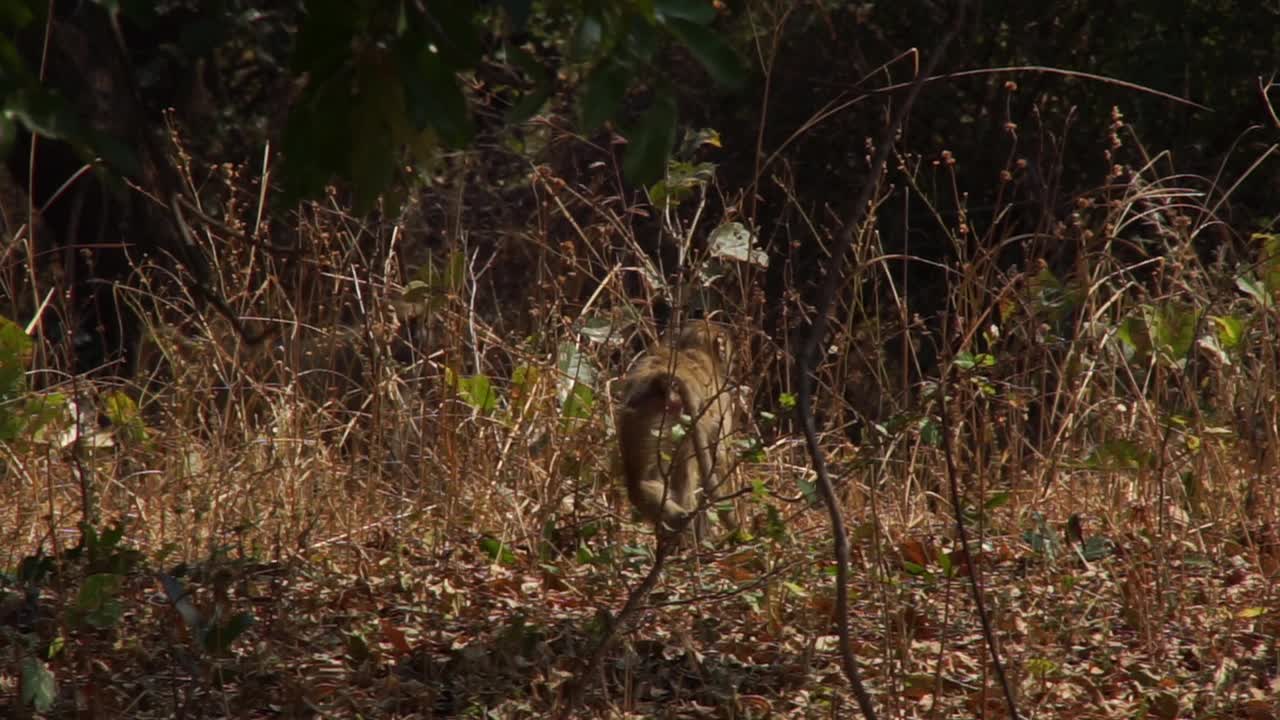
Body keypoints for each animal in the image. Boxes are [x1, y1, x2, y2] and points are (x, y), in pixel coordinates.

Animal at [614, 319, 737, 538]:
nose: (732, 363)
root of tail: (663, 380)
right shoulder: (723, 400)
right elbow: (721, 457)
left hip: (641, 420)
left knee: (641, 481)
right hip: (678, 422)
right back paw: (687, 522)